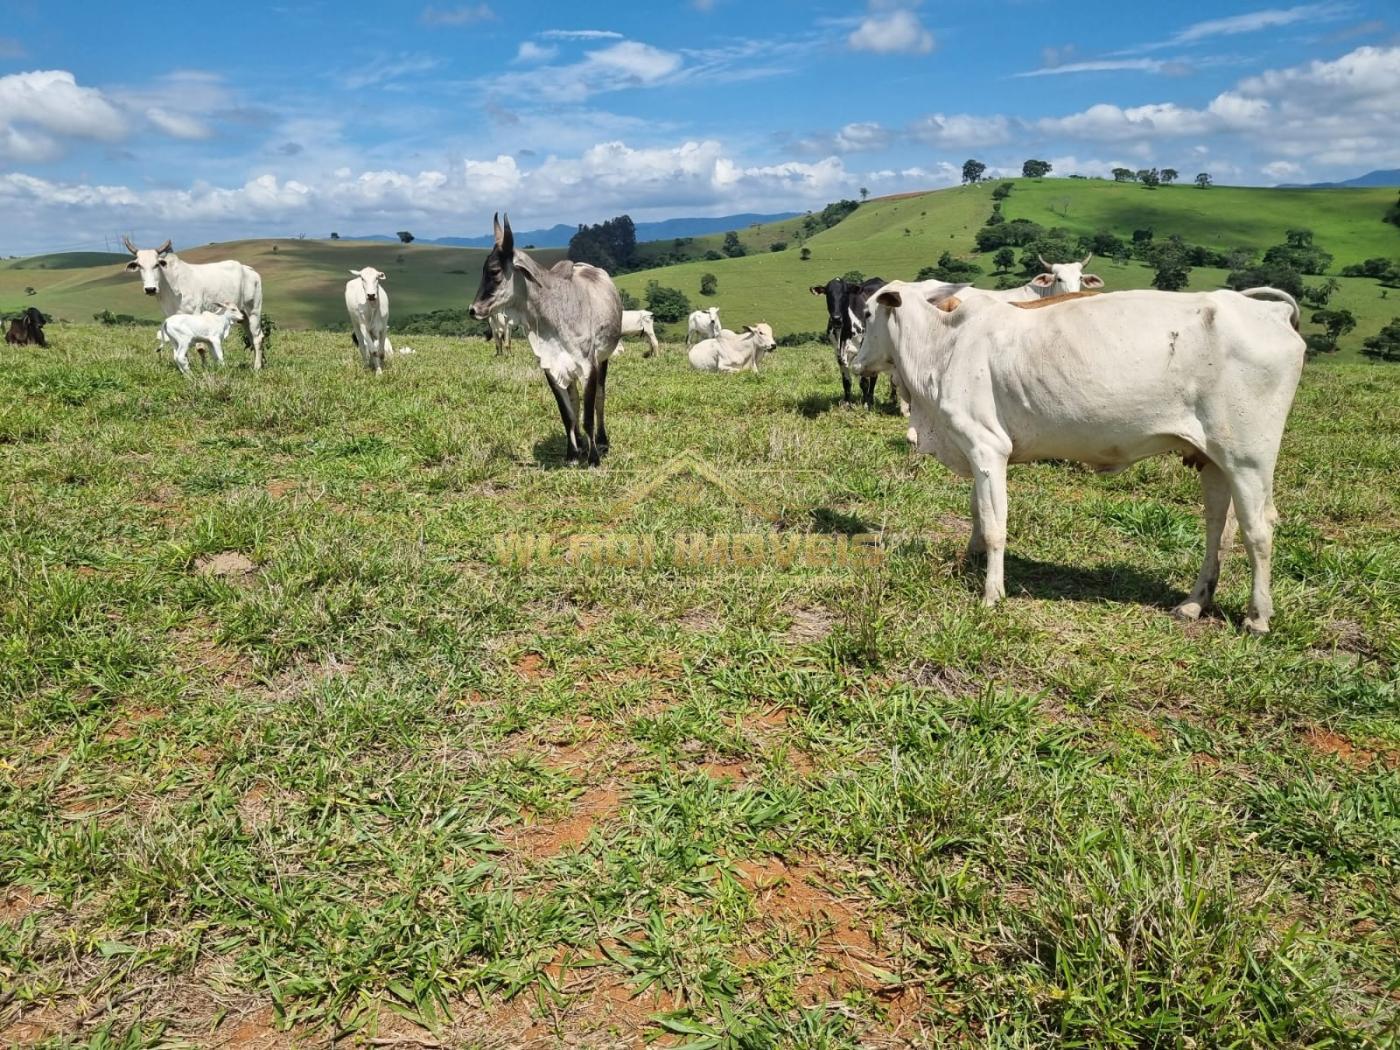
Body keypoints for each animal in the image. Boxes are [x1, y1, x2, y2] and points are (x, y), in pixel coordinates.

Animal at [122, 238, 264, 369]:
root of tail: (249, 269)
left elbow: (200, 347)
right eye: (139, 265)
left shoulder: (196, 313)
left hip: (253, 310)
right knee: (250, 337)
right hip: (243, 316)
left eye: (157, 264)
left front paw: (204, 368)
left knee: (257, 337)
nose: (150, 289)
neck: (172, 284)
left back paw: (257, 367)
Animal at [470, 215, 624, 467]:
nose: (473, 310)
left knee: (600, 399)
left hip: (603, 359)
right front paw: (572, 454)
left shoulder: (588, 365)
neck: (553, 313)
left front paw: (593, 458)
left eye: (494, 271)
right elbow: (567, 413)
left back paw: (601, 442)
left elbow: (589, 415)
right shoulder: (551, 366)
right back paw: (581, 444)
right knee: (575, 400)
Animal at [856, 280, 1304, 638]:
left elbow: (995, 525)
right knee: (1218, 529)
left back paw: (1258, 617)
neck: (942, 346)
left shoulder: (986, 447)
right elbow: (979, 512)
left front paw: (991, 593)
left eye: (867, 312)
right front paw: (972, 561)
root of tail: (1270, 312)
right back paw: (1194, 603)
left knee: (1258, 531)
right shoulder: (976, 450)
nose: (852, 360)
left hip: (1249, 459)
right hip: (1212, 458)